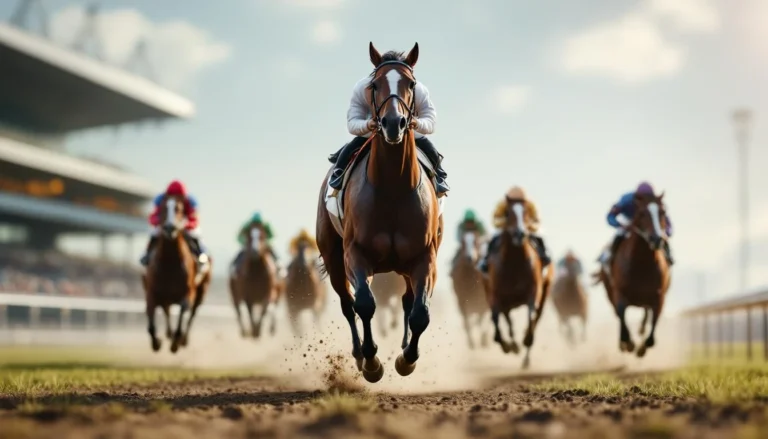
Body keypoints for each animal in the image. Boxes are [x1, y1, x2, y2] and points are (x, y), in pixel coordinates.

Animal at [142, 194, 211, 353]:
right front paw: (157, 342)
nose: (169, 227)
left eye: (179, 209)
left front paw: (176, 342)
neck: (170, 263)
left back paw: (183, 339)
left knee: (192, 315)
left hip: (201, 292)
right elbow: (150, 320)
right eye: (162, 208)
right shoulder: (152, 292)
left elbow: (184, 310)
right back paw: (168, 333)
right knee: (167, 311)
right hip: (165, 297)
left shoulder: (189, 292)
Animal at [316, 42, 444, 383]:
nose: (392, 124)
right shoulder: (354, 254)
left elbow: (420, 312)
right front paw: (372, 362)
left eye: (411, 84)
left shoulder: (425, 257)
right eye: (374, 86)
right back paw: (360, 354)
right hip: (333, 257)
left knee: (408, 301)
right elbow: (363, 304)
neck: (393, 189)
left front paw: (406, 359)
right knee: (347, 304)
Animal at [484, 196, 553, 369]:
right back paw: (513, 344)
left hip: (545, 291)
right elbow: (495, 319)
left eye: (526, 211)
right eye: (508, 213)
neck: (514, 262)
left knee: (536, 317)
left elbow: (531, 316)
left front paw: (526, 339)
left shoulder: (534, 291)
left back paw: (525, 356)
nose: (520, 233)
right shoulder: (495, 293)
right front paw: (506, 345)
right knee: (507, 320)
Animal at [592, 192, 671, 358]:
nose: (657, 239)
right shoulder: (619, 294)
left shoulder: (659, 296)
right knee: (618, 314)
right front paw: (628, 344)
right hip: (610, 293)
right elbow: (622, 318)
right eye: (641, 213)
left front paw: (641, 348)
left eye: (663, 212)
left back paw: (641, 330)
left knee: (646, 314)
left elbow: (652, 335)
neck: (641, 264)